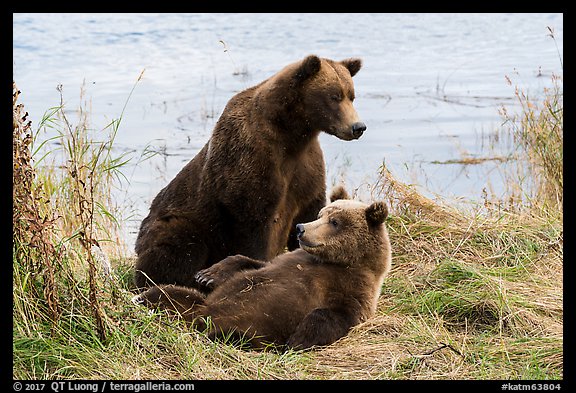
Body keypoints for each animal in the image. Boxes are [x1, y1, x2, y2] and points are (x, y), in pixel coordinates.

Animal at [132, 188, 392, 350]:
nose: (301, 228)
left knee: (233, 335)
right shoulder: (287, 260)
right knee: (166, 292)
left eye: (335, 222)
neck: (338, 261)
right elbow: (250, 263)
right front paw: (208, 275)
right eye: (321, 214)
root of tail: (198, 318)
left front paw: (297, 341)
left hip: (251, 329)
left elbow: (335, 315)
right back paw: (141, 300)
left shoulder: (354, 289)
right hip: (195, 304)